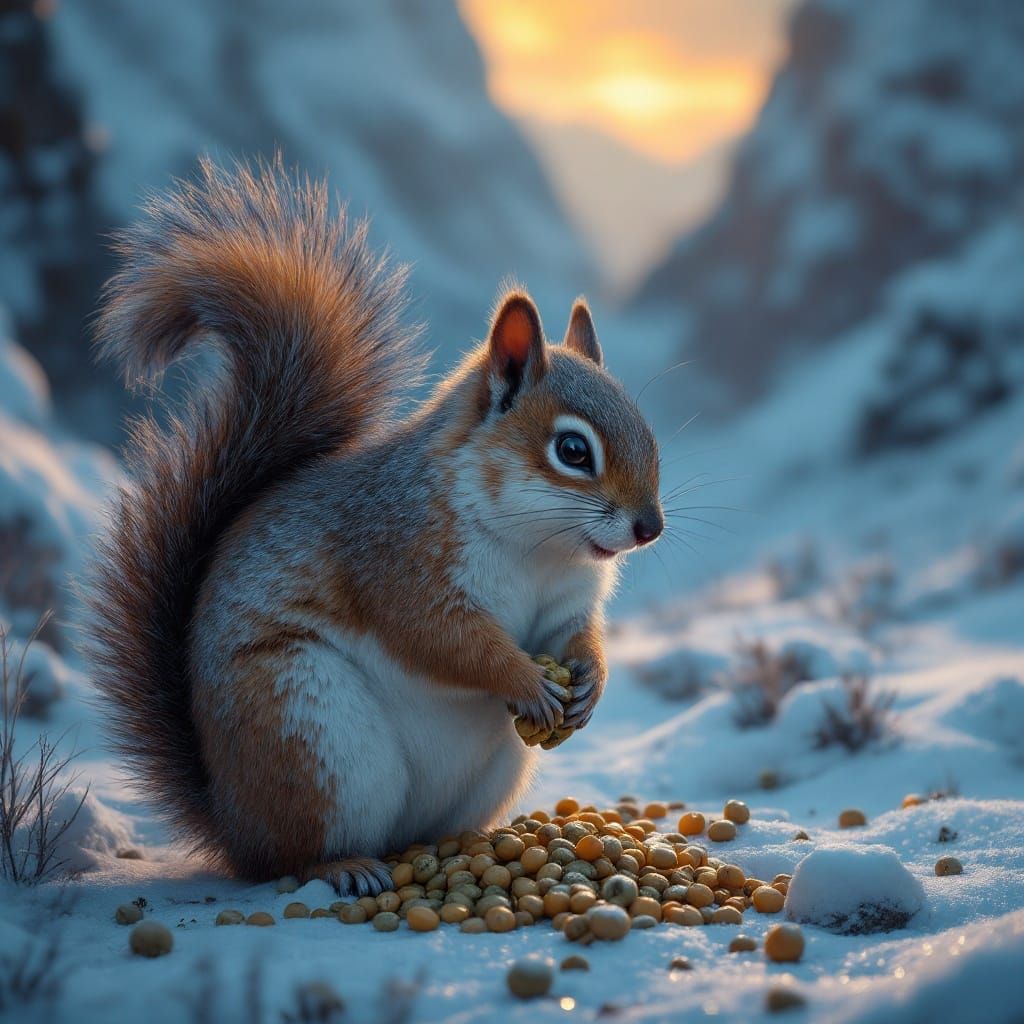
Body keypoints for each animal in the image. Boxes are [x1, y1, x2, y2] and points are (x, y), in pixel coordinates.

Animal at [86, 159, 664, 896]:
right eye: (572, 450)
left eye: (648, 433)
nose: (650, 527)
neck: (539, 550)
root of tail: (229, 821)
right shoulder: (396, 559)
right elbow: (443, 639)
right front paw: (525, 680)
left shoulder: (564, 603)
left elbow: (573, 636)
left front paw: (590, 682)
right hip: (308, 731)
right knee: (290, 858)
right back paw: (345, 866)